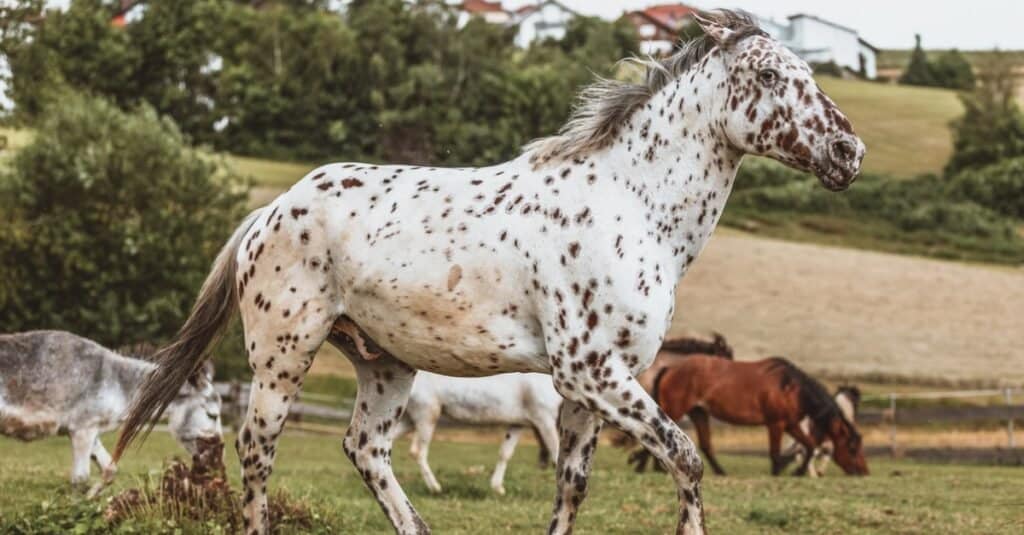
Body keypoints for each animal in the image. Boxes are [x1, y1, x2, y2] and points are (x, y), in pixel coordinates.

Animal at [397, 368, 561, 494]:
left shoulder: (517, 424)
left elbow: (505, 453)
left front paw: (498, 488)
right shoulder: (544, 419)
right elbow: (556, 454)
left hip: (409, 420)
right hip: (426, 414)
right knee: (418, 452)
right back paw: (435, 488)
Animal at [634, 354, 868, 475]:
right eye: (852, 447)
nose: (864, 471)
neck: (791, 388)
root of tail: (669, 369)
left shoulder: (791, 424)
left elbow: (809, 446)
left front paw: (796, 470)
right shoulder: (776, 424)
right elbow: (775, 452)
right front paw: (779, 470)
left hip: (699, 413)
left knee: (705, 445)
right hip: (677, 409)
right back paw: (645, 467)